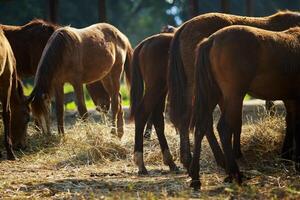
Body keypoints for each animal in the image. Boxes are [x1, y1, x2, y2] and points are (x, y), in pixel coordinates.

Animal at [190, 25, 300, 189]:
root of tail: (212, 39)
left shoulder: (290, 98)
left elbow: (291, 122)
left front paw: (286, 156)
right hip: (234, 95)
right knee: (224, 128)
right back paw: (235, 174)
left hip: (213, 94)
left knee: (201, 127)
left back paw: (196, 179)